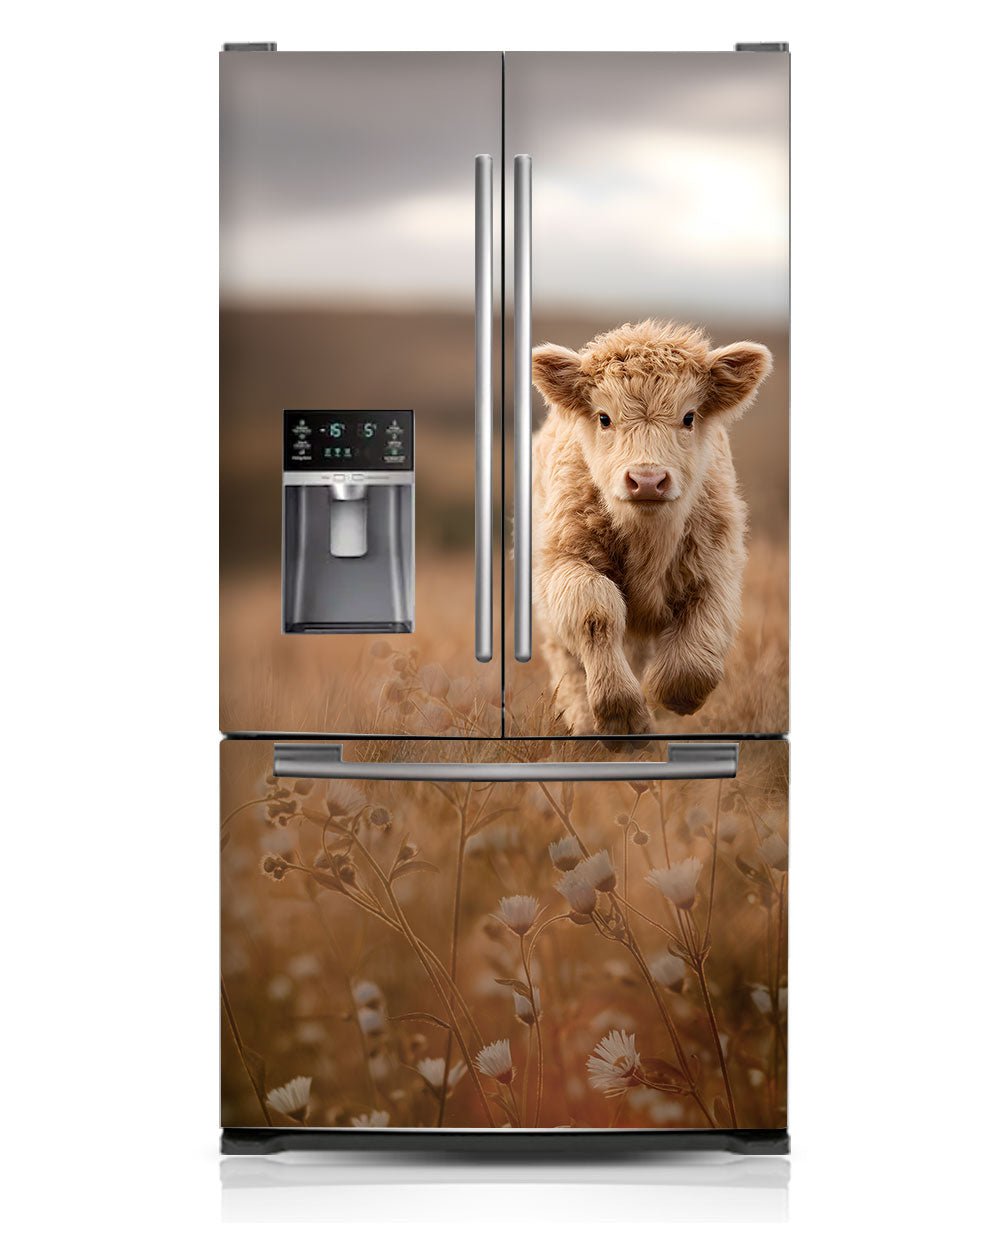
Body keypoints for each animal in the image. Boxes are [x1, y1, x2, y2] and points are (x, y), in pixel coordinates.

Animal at [530, 319, 772, 736]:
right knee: (569, 664)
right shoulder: (564, 562)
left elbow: (694, 659)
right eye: (604, 417)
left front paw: (661, 695)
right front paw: (622, 714)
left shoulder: (716, 569)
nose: (646, 480)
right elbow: (595, 611)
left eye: (689, 417)